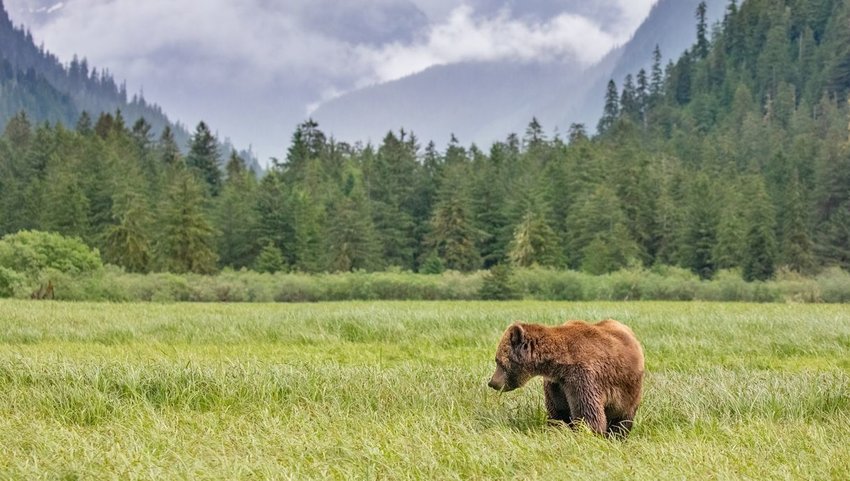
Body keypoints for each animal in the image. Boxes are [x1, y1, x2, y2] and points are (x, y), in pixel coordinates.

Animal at [484, 318, 644, 436]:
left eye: (498, 361)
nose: (492, 382)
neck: (559, 365)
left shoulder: (582, 378)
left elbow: (588, 415)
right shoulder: (557, 384)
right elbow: (559, 412)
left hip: (628, 389)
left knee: (622, 417)